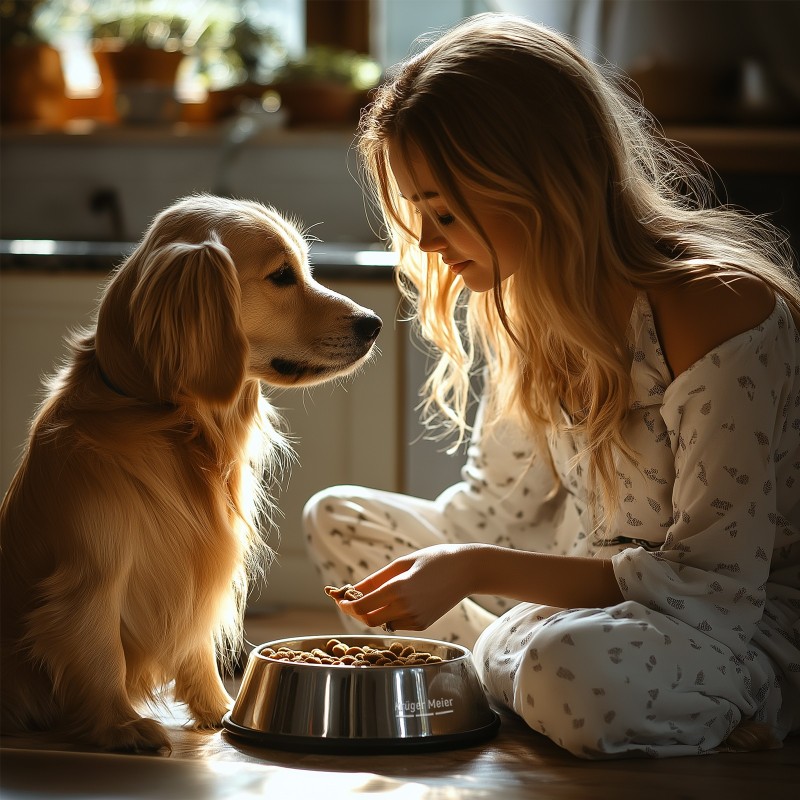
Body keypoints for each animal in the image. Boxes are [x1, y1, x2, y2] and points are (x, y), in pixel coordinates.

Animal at [0, 192, 382, 752]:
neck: (166, 420)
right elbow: (99, 650)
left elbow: (195, 643)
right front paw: (121, 725)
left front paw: (219, 709)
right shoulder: (88, 578)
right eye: (282, 276)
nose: (373, 322)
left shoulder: (199, 570)